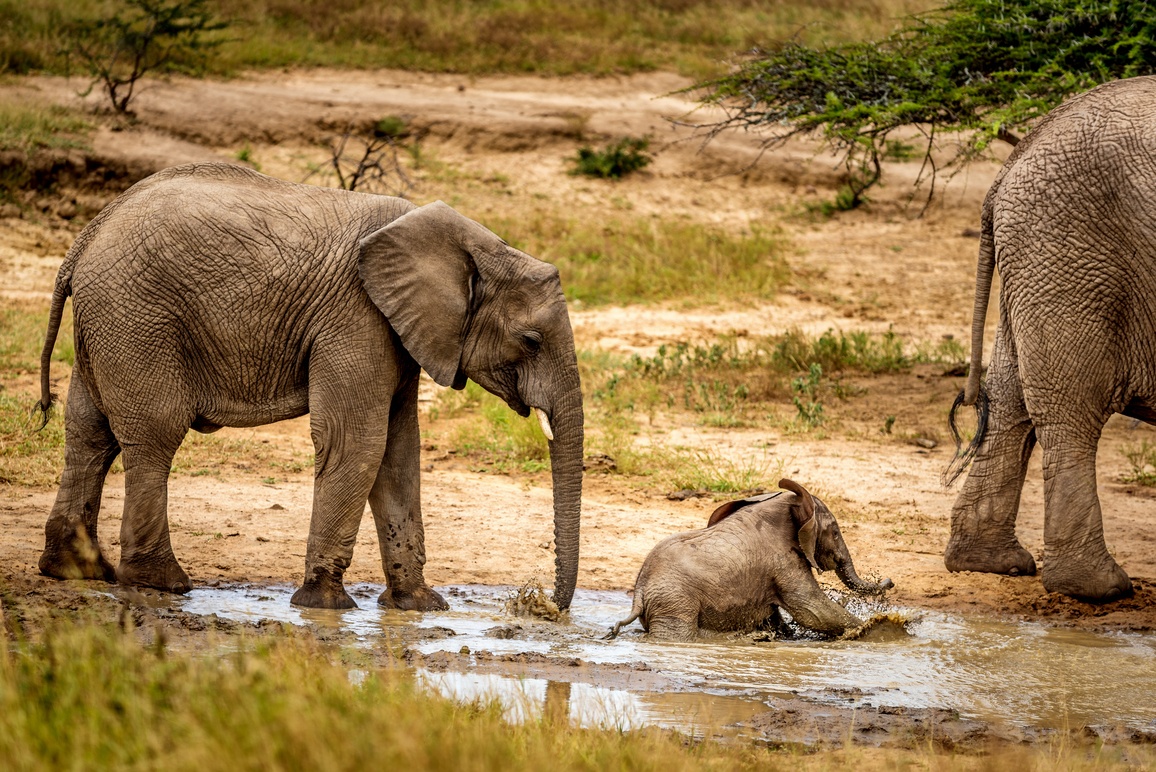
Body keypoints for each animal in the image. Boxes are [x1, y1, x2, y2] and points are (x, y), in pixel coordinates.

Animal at [37, 162, 587, 610]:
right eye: (532, 340)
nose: (547, 605)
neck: (476, 245)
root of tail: (85, 240)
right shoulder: (357, 316)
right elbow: (359, 442)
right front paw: (324, 604)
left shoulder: (399, 330)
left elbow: (399, 451)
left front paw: (419, 607)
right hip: (137, 318)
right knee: (154, 435)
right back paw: (162, 584)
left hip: (111, 323)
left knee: (88, 433)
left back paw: (77, 571)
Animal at [610, 478, 887, 642]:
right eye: (836, 532)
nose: (889, 580)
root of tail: (639, 591)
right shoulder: (782, 559)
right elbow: (812, 610)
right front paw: (878, 628)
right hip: (674, 602)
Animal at [943, 76, 1156, 600]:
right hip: (1072, 251)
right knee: (1071, 405)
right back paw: (1099, 588)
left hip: (1043, 256)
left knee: (1008, 395)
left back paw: (991, 564)